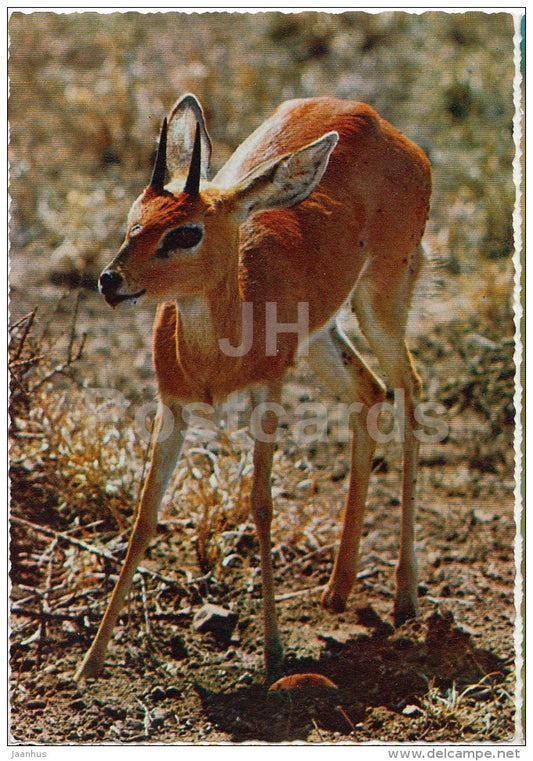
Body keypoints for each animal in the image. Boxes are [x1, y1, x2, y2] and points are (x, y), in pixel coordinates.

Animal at [75, 94, 431, 682]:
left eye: (185, 233)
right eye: (133, 223)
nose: (110, 281)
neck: (216, 352)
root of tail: (374, 118)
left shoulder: (269, 391)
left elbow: (261, 504)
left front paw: (273, 652)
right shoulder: (171, 406)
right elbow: (146, 514)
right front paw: (91, 661)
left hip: (381, 299)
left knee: (410, 391)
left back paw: (405, 596)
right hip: (323, 335)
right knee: (371, 393)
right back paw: (338, 588)